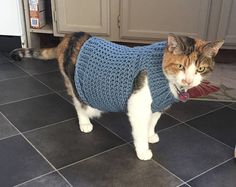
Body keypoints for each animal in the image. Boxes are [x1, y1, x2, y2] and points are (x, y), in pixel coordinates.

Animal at [10, 32, 224, 161]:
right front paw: (143, 150)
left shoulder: (157, 105)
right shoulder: (138, 106)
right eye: (180, 66)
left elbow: (152, 122)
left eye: (200, 69)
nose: (188, 81)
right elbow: (139, 130)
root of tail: (70, 35)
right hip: (75, 84)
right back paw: (85, 122)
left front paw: (151, 135)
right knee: (78, 103)